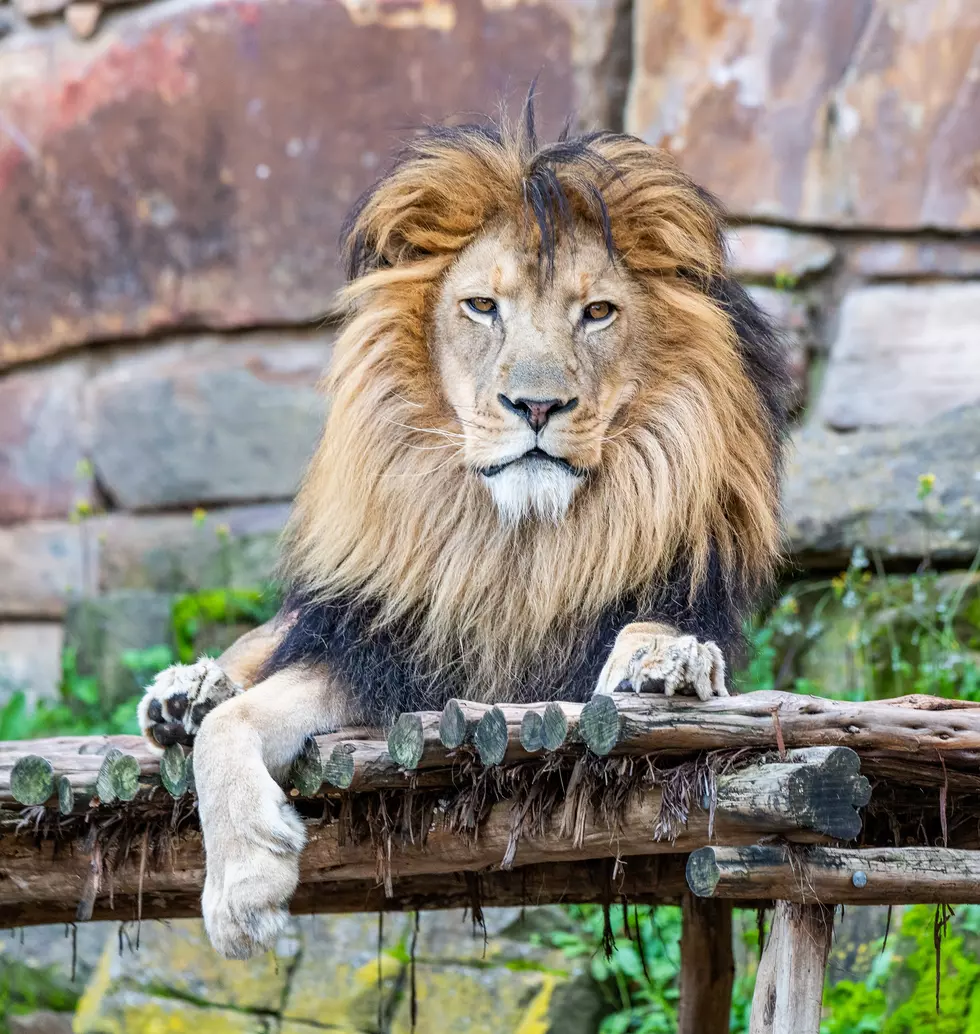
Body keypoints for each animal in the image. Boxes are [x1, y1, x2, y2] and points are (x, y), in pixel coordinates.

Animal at [135, 98, 789, 959]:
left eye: (598, 313)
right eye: (483, 307)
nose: (537, 406)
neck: (518, 545)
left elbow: (651, 635)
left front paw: (666, 662)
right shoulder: (381, 654)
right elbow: (233, 724)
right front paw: (242, 892)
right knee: (254, 650)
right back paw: (183, 693)